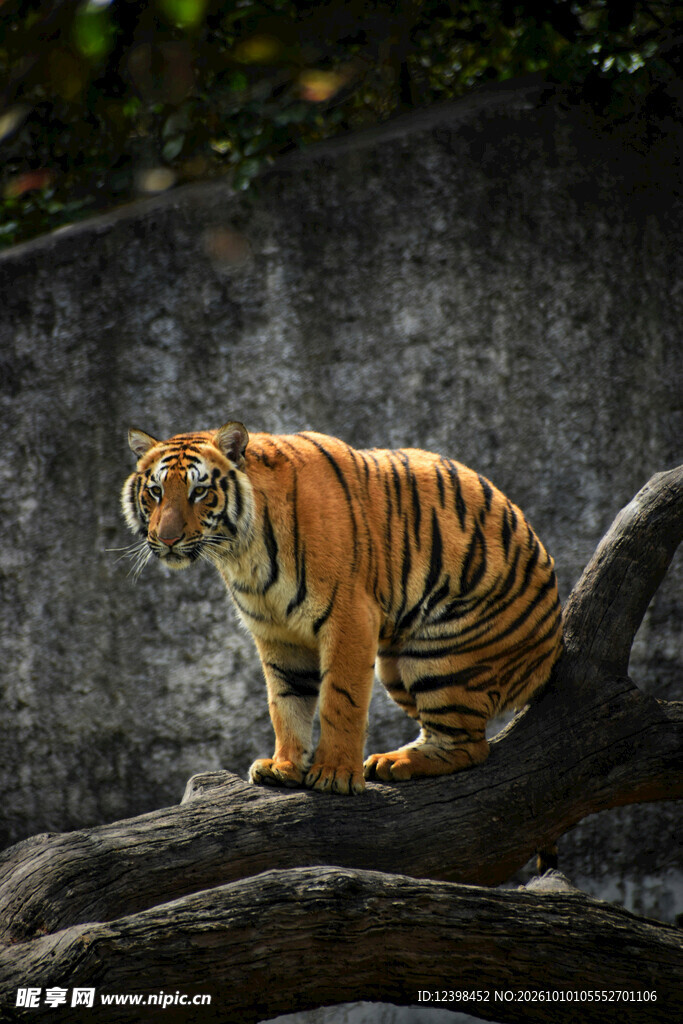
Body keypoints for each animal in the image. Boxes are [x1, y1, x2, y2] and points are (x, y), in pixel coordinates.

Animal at [121, 422, 562, 795]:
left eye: (198, 492)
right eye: (156, 492)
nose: (166, 538)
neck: (241, 552)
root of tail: (551, 652)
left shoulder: (350, 616)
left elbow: (340, 699)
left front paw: (333, 775)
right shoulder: (276, 633)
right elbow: (285, 702)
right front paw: (283, 767)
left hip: (444, 653)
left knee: (469, 746)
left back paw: (394, 762)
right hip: (396, 668)